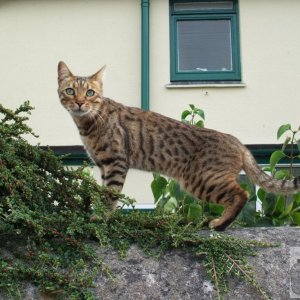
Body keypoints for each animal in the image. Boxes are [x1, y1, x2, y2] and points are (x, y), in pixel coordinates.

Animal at [56, 60, 300, 230]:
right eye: (70, 91)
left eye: (90, 92)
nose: (80, 102)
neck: (89, 123)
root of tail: (238, 142)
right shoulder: (103, 166)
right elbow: (103, 192)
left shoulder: (115, 162)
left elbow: (110, 194)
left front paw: (103, 217)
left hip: (203, 179)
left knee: (242, 194)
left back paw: (220, 224)